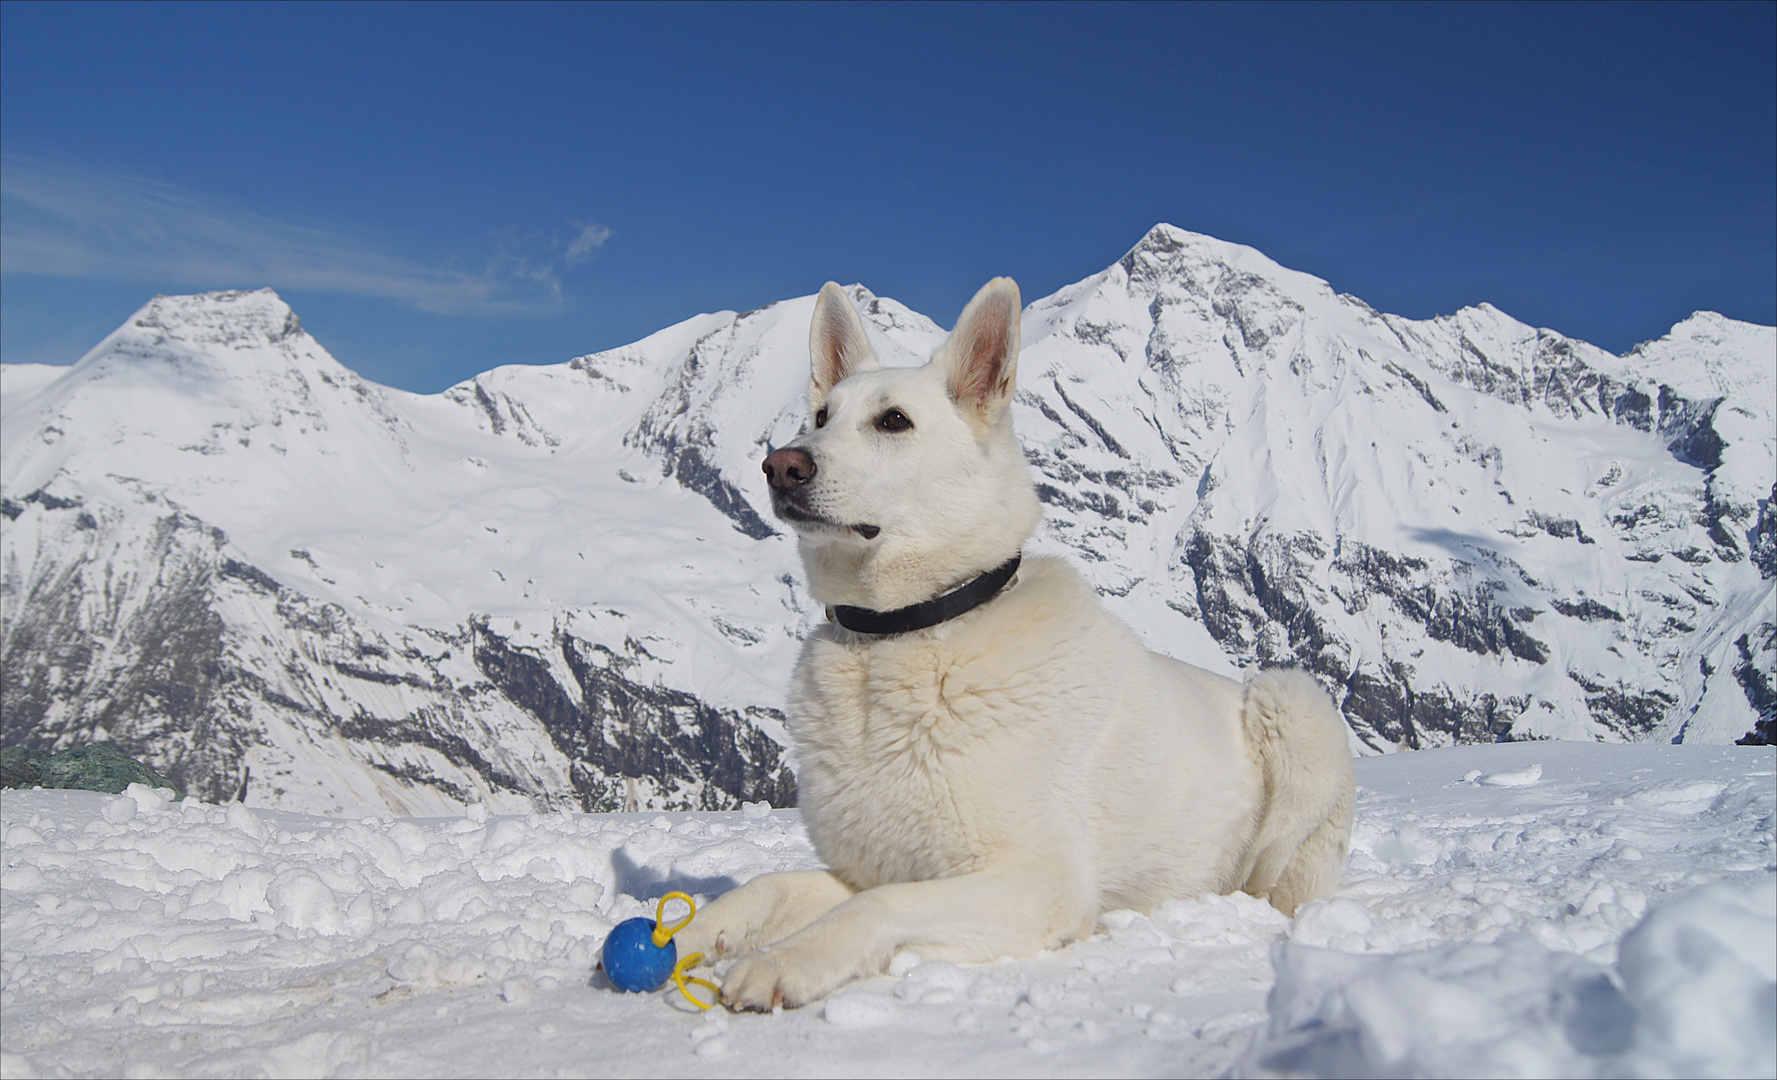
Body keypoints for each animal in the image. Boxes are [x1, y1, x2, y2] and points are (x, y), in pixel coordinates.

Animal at [671, 273, 1350, 1008]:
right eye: (820, 417)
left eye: (893, 422)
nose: (779, 465)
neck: (907, 632)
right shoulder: (875, 864)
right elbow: (769, 887)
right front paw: (683, 936)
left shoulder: (1040, 882)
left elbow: (876, 907)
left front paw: (785, 961)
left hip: (1291, 705)